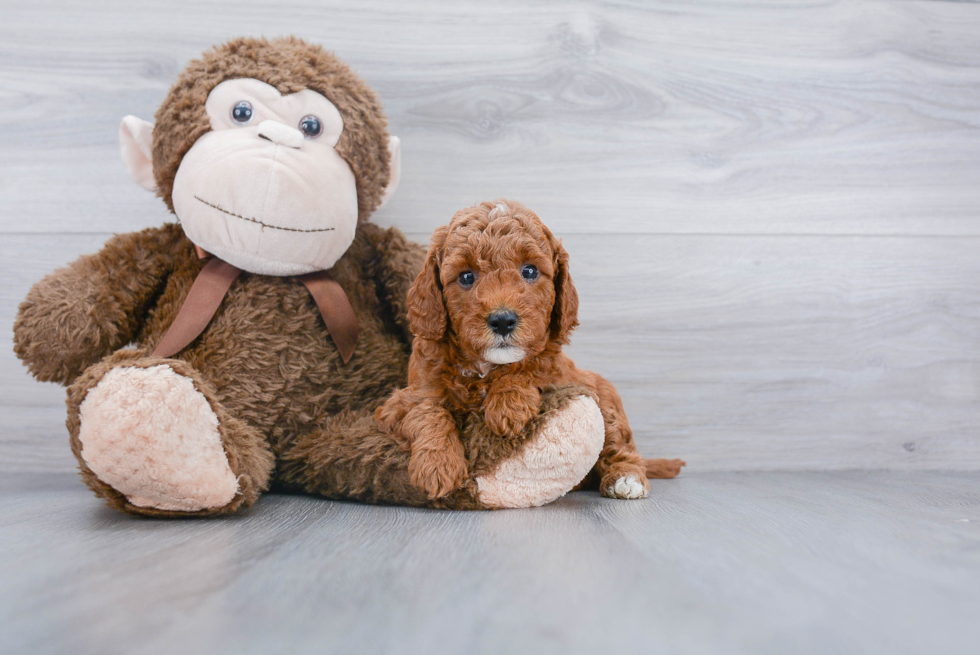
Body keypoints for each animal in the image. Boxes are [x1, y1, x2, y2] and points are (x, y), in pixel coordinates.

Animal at [378, 200, 684, 502]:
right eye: (466, 276)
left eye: (529, 271)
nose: (502, 320)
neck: (486, 368)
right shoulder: (403, 399)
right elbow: (427, 410)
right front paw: (437, 465)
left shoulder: (558, 372)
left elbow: (532, 366)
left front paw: (508, 406)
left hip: (606, 398)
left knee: (621, 446)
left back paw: (626, 478)